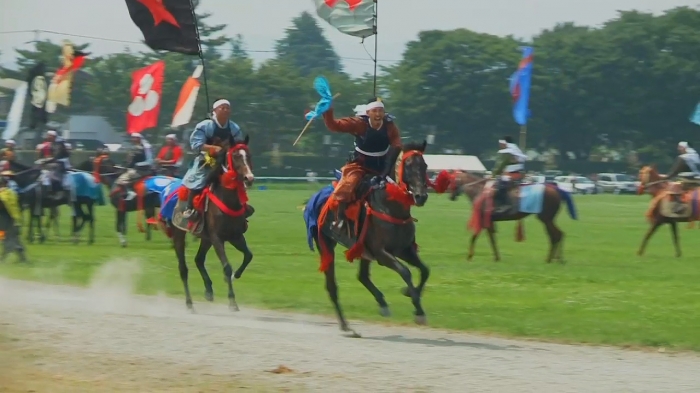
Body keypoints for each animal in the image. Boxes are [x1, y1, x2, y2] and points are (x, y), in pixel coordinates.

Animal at [170, 136, 254, 310]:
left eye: (248, 155)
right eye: (236, 156)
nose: (249, 178)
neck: (228, 201)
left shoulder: (235, 236)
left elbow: (248, 256)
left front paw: (236, 275)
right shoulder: (217, 238)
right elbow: (226, 267)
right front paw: (232, 301)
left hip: (205, 238)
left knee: (198, 259)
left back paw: (208, 290)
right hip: (179, 234)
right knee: (183, 268)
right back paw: (189, 303)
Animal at [304, 139, 434, 332]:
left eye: (425, 165)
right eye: (408, 165)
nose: (421, 196)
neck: (390, 207)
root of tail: (313, 199)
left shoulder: (404, 249)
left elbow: (425, 270)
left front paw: (411, 295)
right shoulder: (381, 253)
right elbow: (405, 271)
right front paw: (418, 309)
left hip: (362, 250)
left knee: (362, 276)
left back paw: (382, 304)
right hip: (325, 242)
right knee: (332, 285)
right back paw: (346, 326)